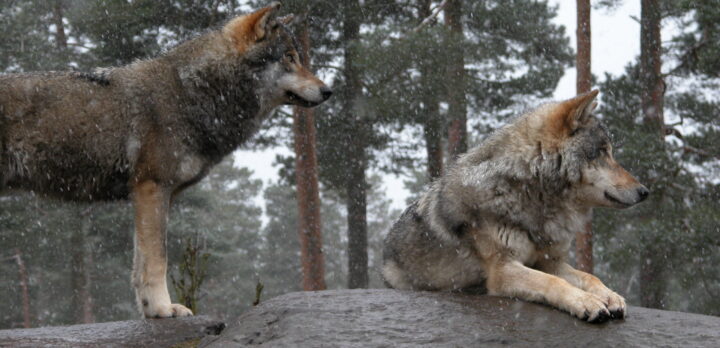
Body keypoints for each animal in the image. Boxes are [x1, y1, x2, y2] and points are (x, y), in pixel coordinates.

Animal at [0, 2, 332, 318]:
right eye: (289, 57)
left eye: (298, 57)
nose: (328, 90)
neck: (192, 92)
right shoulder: (152, 187)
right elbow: (157, 259)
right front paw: (162, 308)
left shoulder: (156, 195)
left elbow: (140, 263)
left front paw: (152, 310)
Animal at [386, 90, 648, 324]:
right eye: (602, 153)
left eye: (610, 153)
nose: (645, 191)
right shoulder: (503, 270)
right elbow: (552, 281)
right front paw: (587, 302)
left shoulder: (549, 262)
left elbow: (589, 276)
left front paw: (610, 296)